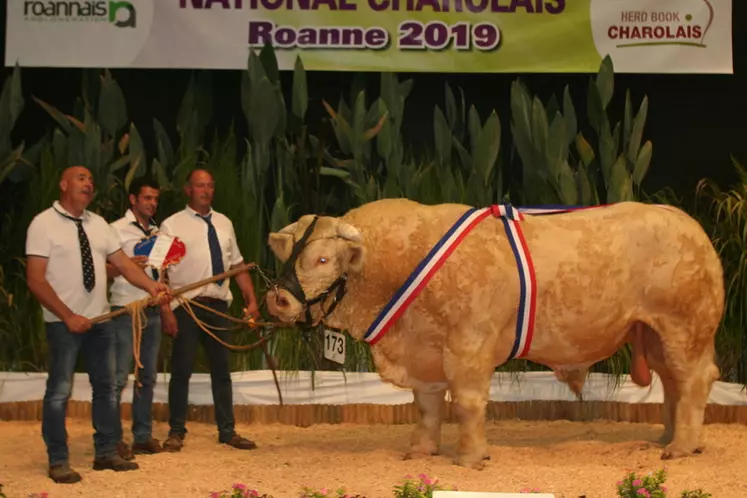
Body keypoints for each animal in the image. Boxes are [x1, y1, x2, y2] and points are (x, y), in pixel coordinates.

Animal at [264, 197, 724, 466]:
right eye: (289, 255)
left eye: (323, 260)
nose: (278, 300)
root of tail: (689, 224)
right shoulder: (425, 351)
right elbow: (427, 406)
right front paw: (420, 451)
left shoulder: (469, 343)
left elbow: (467, 403)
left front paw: (470, 457)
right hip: (654, 333)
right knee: (672, 384)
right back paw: (670, 437)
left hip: (685, 328)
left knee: (694, 380)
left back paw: (681, 447)